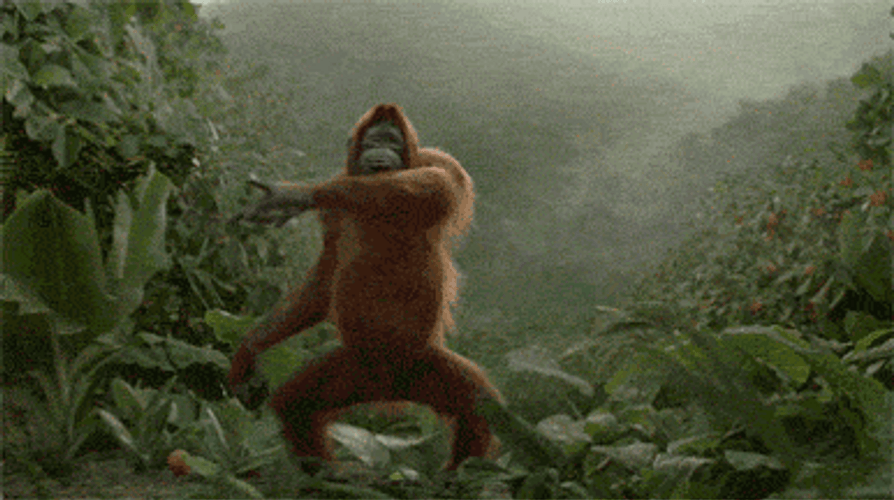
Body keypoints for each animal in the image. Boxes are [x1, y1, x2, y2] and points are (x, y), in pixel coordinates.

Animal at [228, 103, 503, 472]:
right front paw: (250, 348)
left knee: (479, 408)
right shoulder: (331, 216)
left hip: (423, 364)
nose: (382, 152)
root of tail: (387, 389)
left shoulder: (440, 164)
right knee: (294, 404)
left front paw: (295, 193)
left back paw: (461, 475)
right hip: (352, 368)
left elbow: (435, 183)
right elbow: (326, 276)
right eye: (374, 141)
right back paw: (327, 473)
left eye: (393, 143)